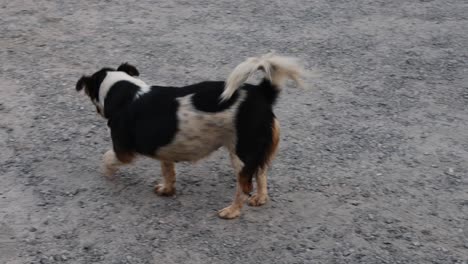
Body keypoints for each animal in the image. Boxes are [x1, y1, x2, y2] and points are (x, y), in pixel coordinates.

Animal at [75, 53, 304, 219]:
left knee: (244, 186)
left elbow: (107, 158)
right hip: (256, 149)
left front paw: (107, 172)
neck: (126, 93)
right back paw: (260, 198)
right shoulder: (164, 151)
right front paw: (167, 190)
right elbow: (168, 172)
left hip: (241, 153)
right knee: (262, 172)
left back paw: (232, 211)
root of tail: (261, 93)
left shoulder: (123, 150)